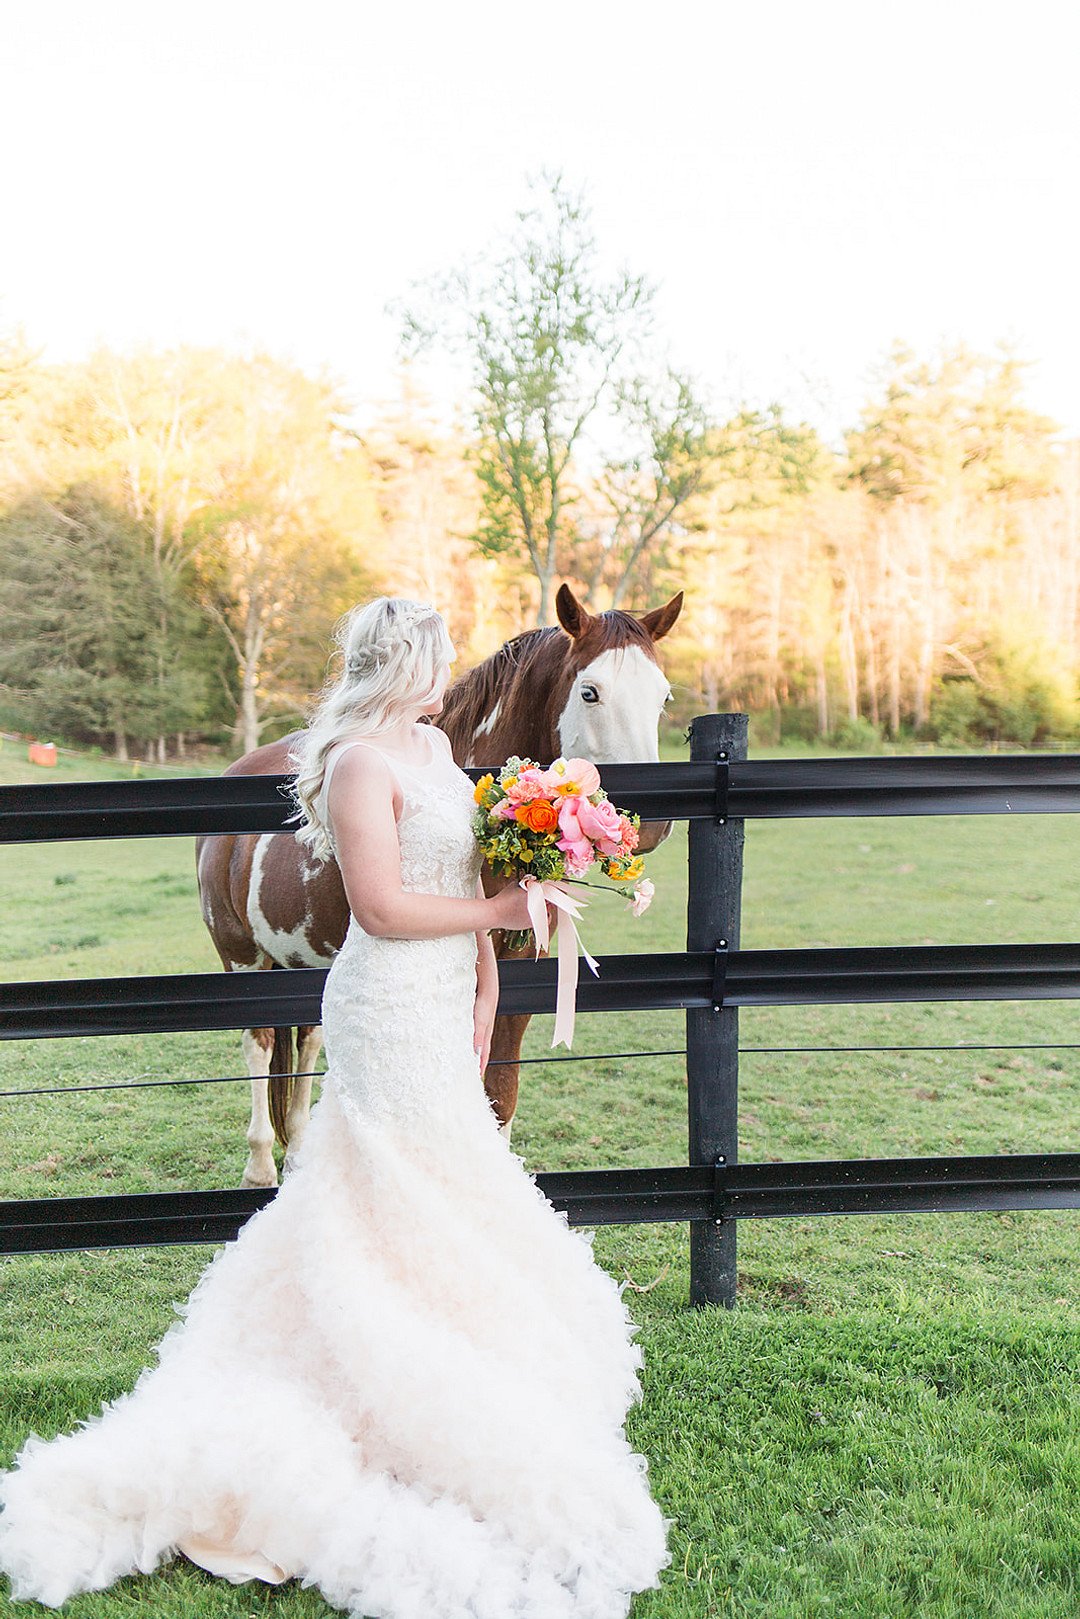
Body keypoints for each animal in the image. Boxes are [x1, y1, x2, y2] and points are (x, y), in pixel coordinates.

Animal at [195, 579, 683, 1178]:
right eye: (590, 692)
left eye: (662, 697)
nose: (651, 823)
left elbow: (499, 1096)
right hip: (241, 956)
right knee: (260, 1045)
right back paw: (262, 1164)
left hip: (300, 960)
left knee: (306, 1042)